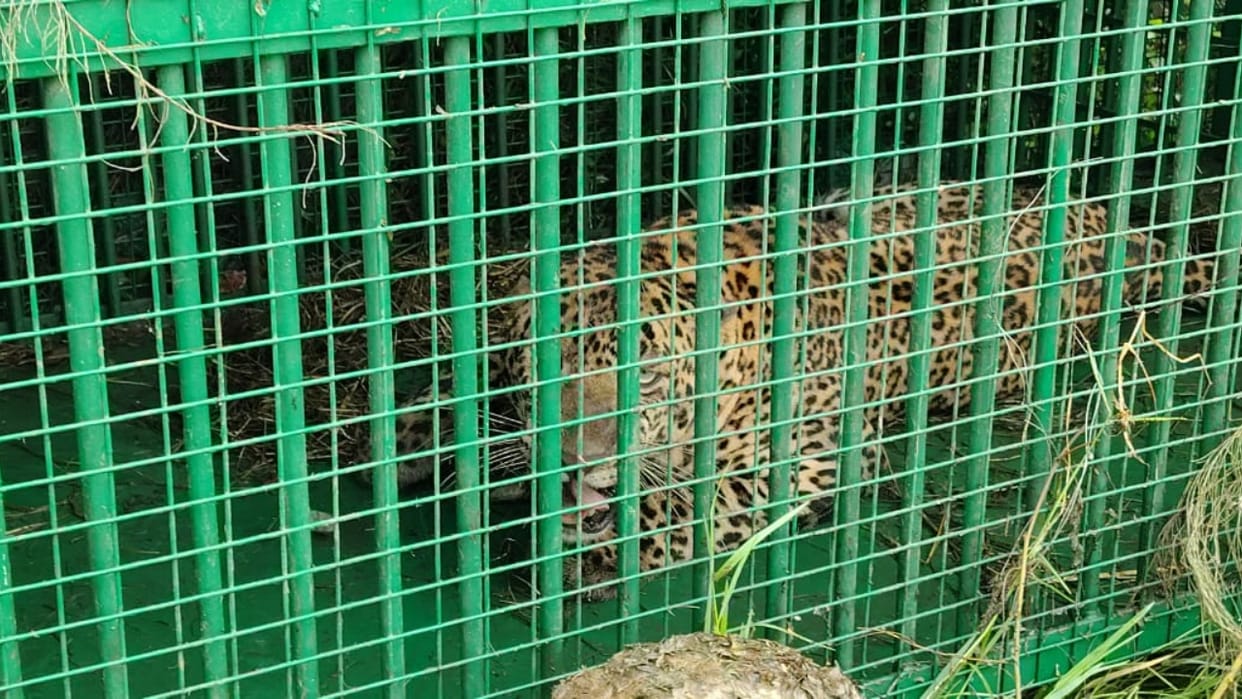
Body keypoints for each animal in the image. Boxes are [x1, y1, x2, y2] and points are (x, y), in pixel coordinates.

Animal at [365, 180, 1220, 602]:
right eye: (545, 369)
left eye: (644, 381)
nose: (578, 465)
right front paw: (404, 440)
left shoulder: (814, 458)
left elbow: (698, 500)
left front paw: (605, 543)